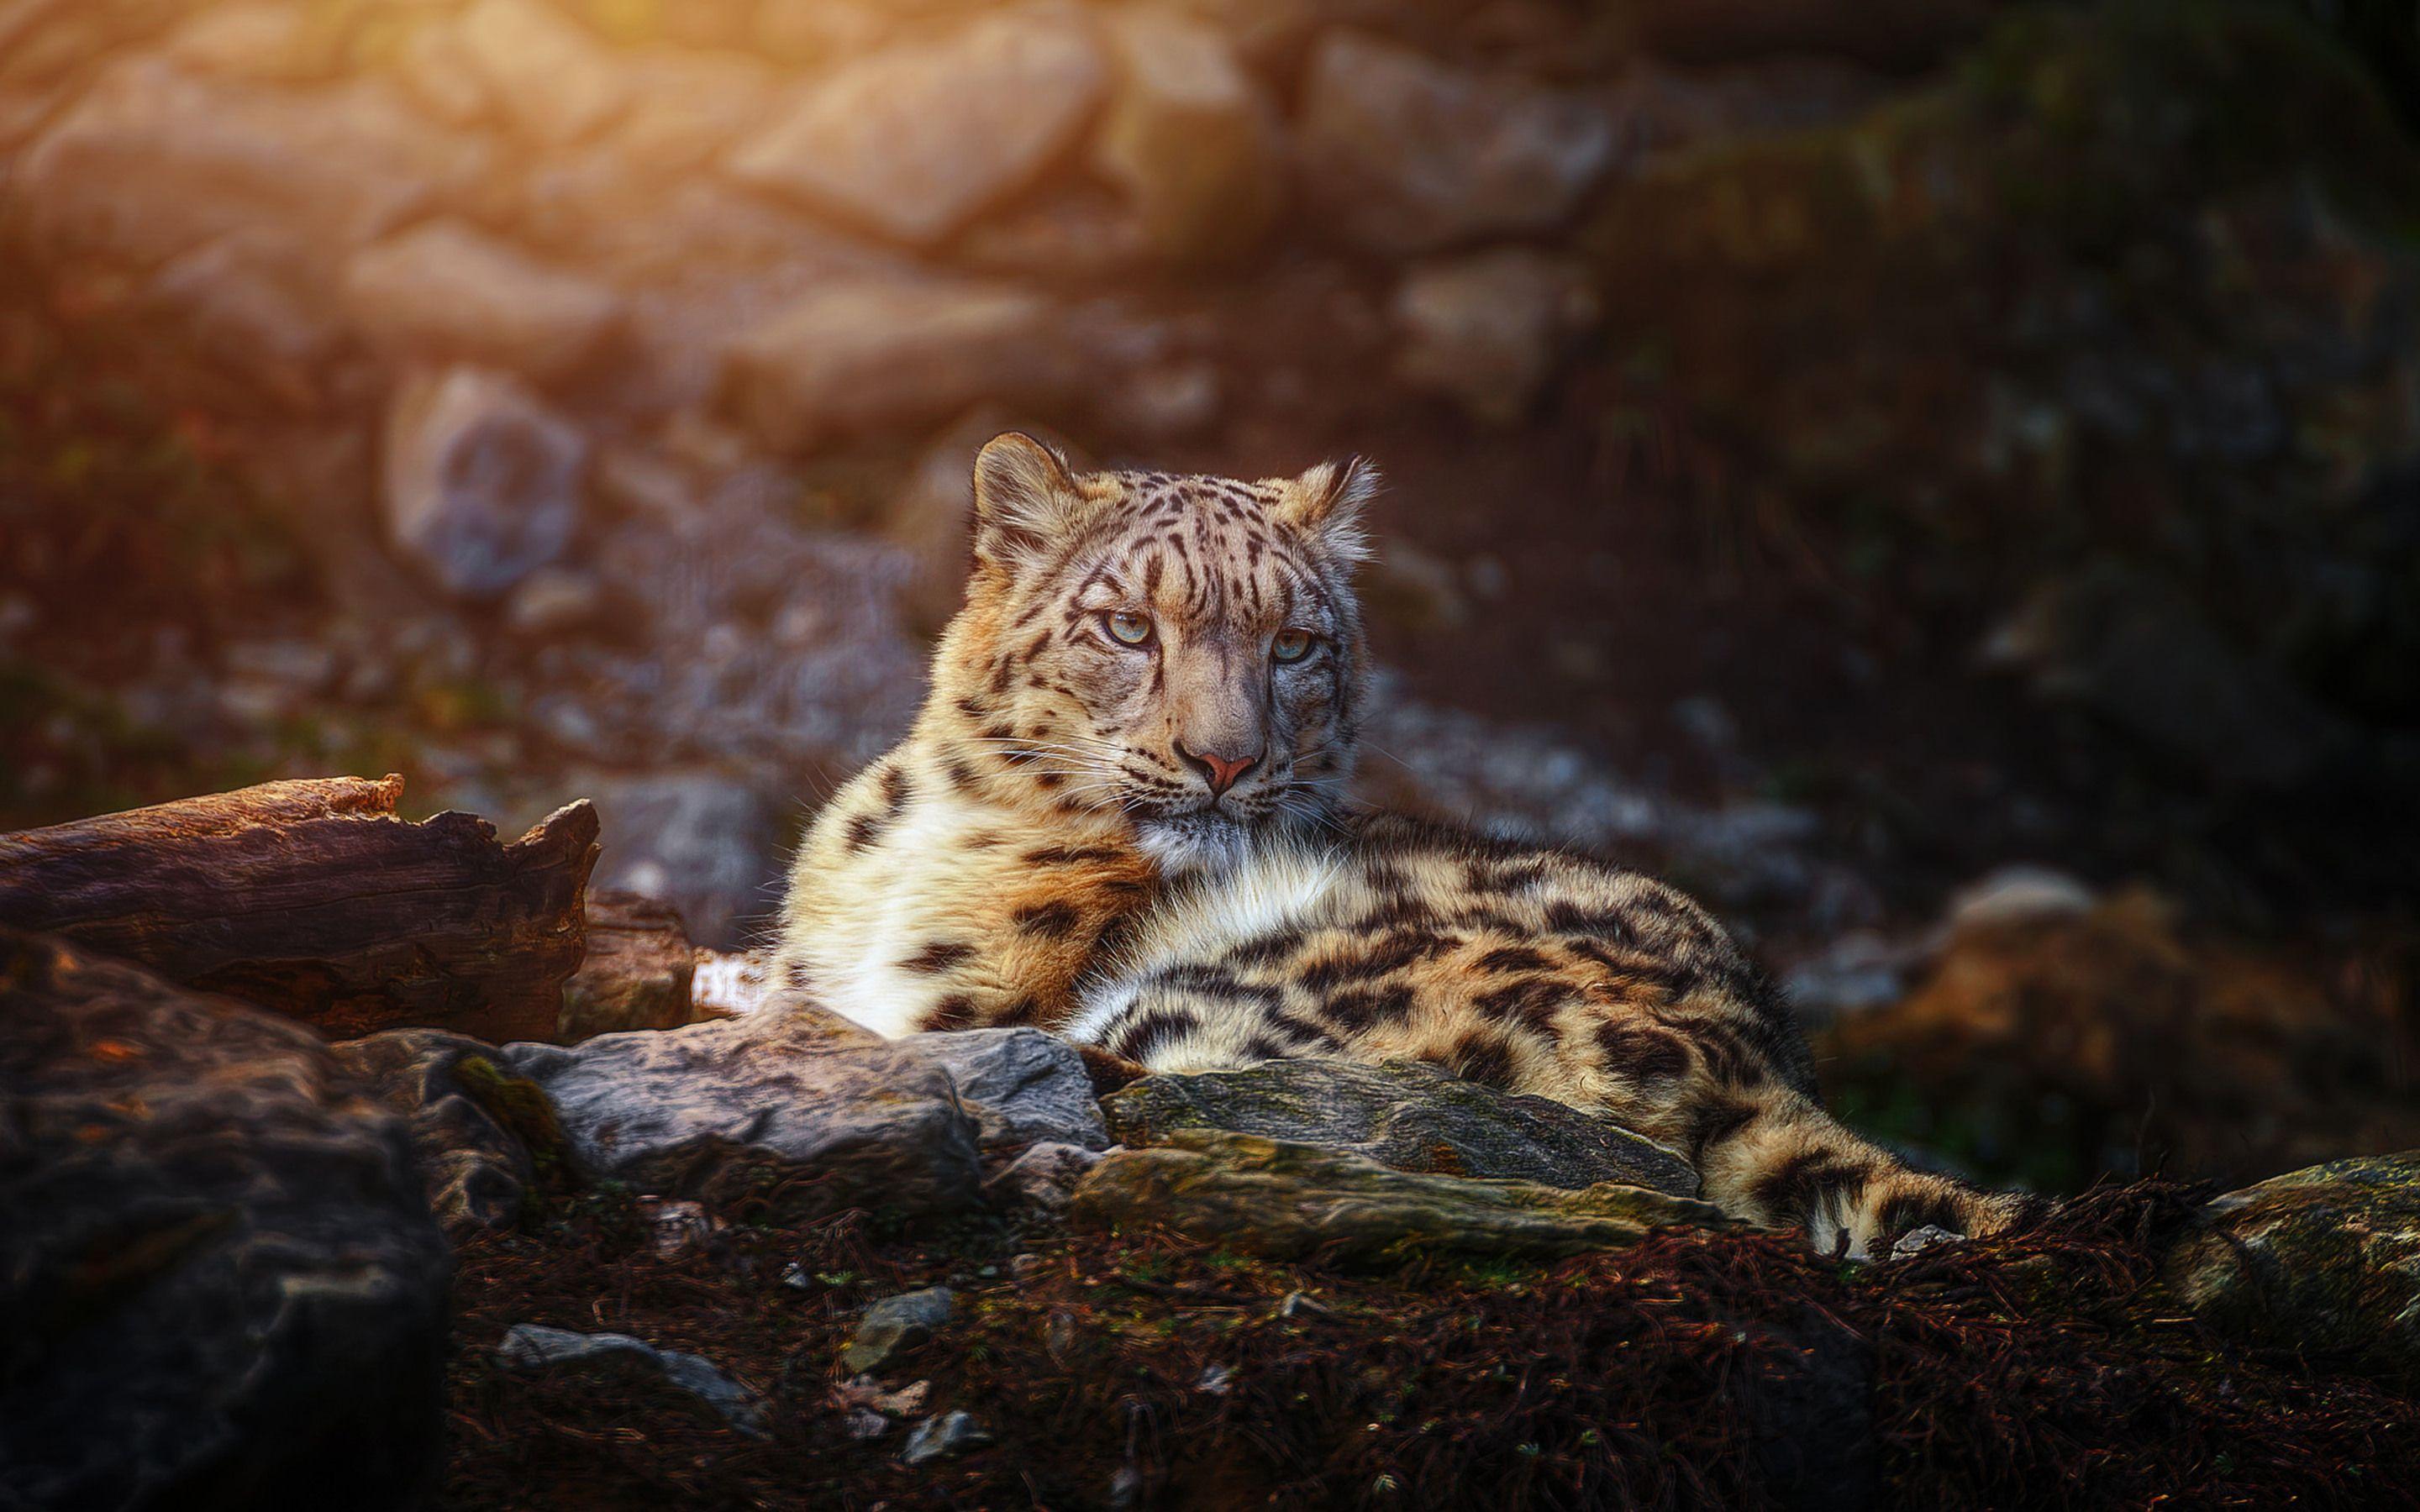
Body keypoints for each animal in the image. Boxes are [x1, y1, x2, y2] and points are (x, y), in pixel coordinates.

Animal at [774, 433, 2031, 1256]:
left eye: (1295, 644)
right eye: (1128, 627)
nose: (1223, 761)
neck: (923, 831)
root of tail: (1761, 1068)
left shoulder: (970, 999)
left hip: (1226, 1001)